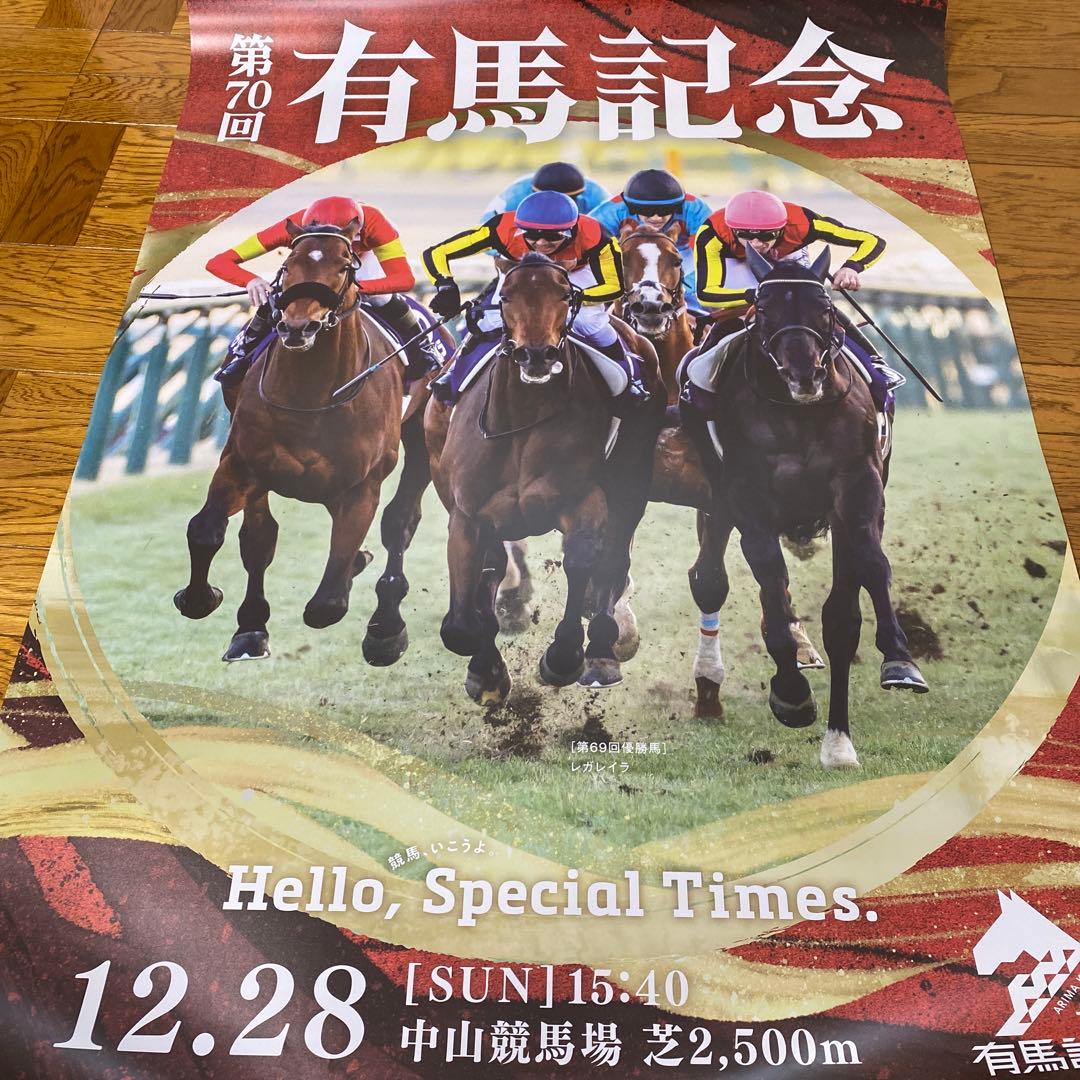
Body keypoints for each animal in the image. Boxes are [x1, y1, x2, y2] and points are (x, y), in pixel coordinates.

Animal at [174, 219, 442, 664]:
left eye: (344, 266)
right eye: (289, 264)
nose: (297, 326)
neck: (311, 396)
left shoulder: (363, 484)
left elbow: (328, 602)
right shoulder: (243, 462)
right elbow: (212, 531)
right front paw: (212, 605)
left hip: (422, 434)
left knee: (400, 521)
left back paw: (386, 626)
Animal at [655, 245, 927, 768]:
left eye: (824, 309)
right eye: (763, 310)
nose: (805, 374)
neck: (798, 414)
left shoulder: (857, 489)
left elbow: (854, 597)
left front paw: (889, 674)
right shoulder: (747, 500)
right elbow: (769, 590)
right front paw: (792, 693)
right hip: (718, 508)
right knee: (711, 580)